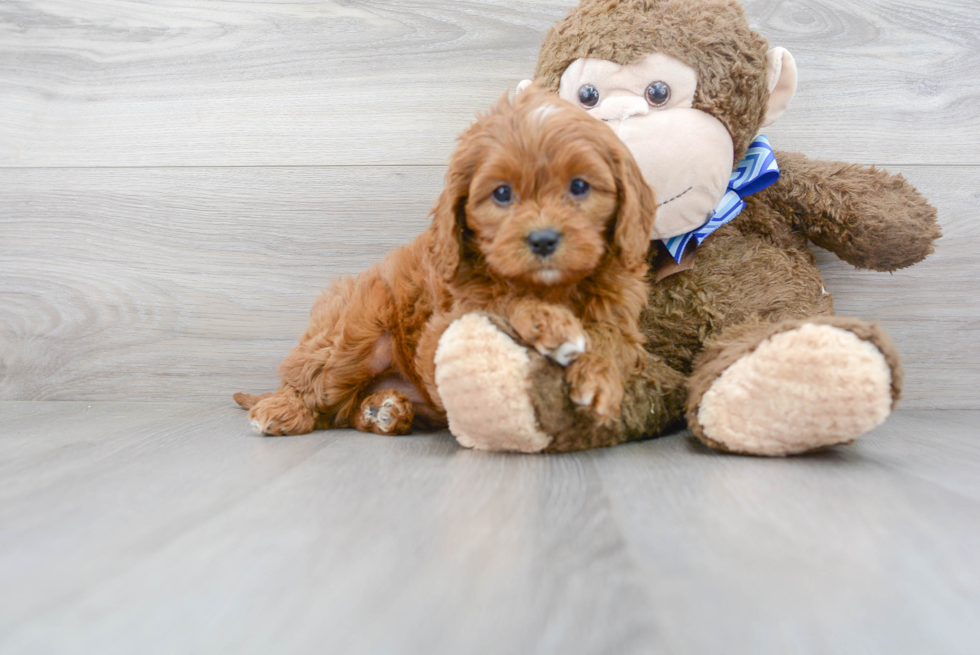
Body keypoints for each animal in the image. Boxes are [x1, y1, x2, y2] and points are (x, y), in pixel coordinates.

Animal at [234, 86, 656, 436]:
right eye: (502, 193)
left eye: (580, 186)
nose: (543, 239)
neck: (552, 286)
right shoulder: (443, 329)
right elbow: (502, 301)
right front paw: (548, 321)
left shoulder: (621, 317)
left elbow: (612, 342)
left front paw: (599, 378)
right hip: (355, 331)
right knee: (315, 381)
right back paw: (281, 410)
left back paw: (384, 410)